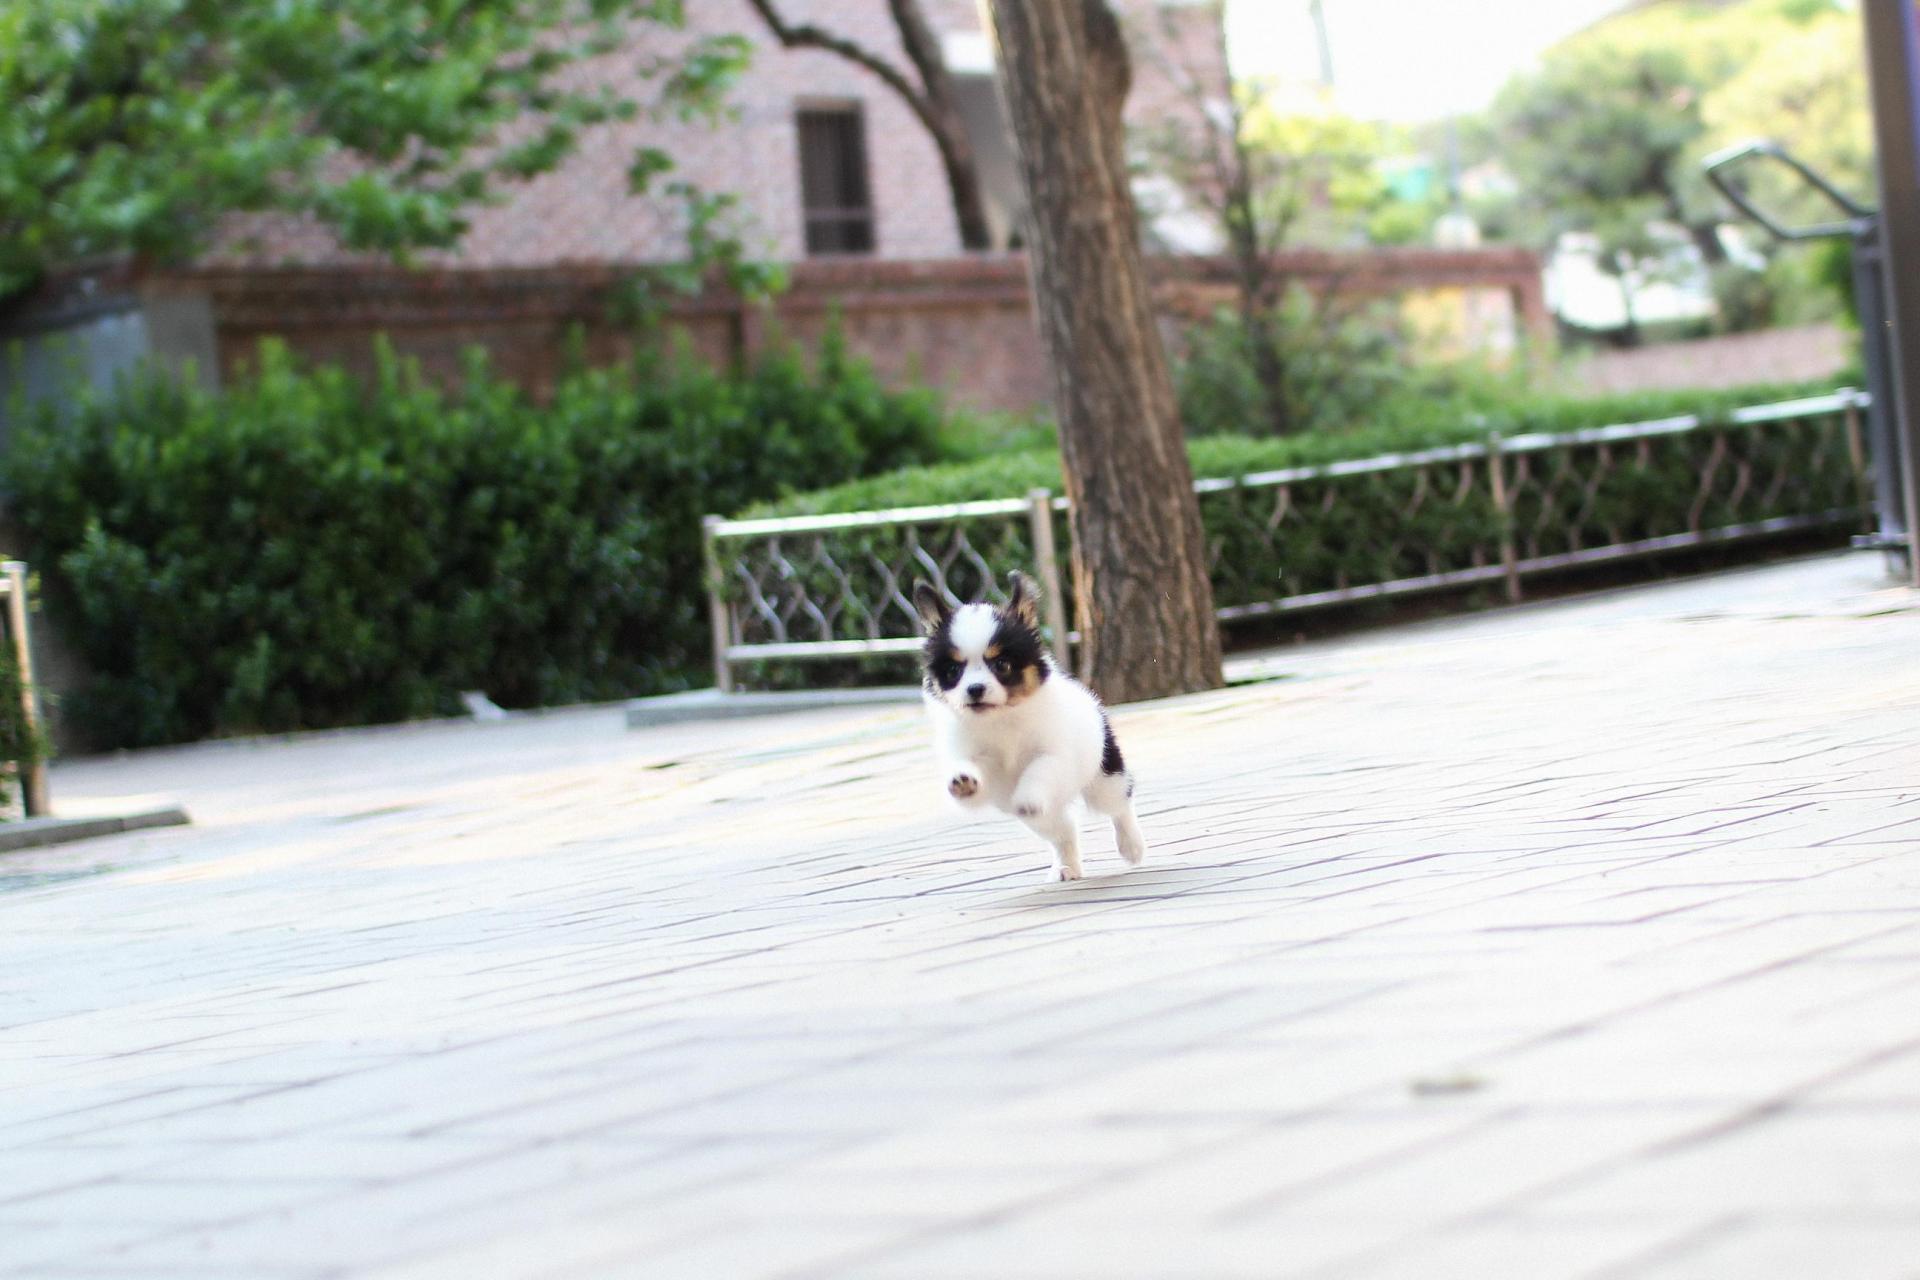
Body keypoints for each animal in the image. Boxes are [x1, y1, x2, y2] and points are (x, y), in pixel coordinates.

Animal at [913, 570, 1147, 882]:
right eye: (953, 671)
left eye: (1002, 665)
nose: (975, 689)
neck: (1000, 718)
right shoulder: (973, 758)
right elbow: (969, 772)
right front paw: (963, 781)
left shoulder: (1054, 755)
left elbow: (1038, 771)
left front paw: (1028, 796)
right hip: (1045, 818)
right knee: (1063, 831)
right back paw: (1067, 867)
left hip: (1103, 777)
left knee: (1120, 804)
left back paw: (1132, 846)